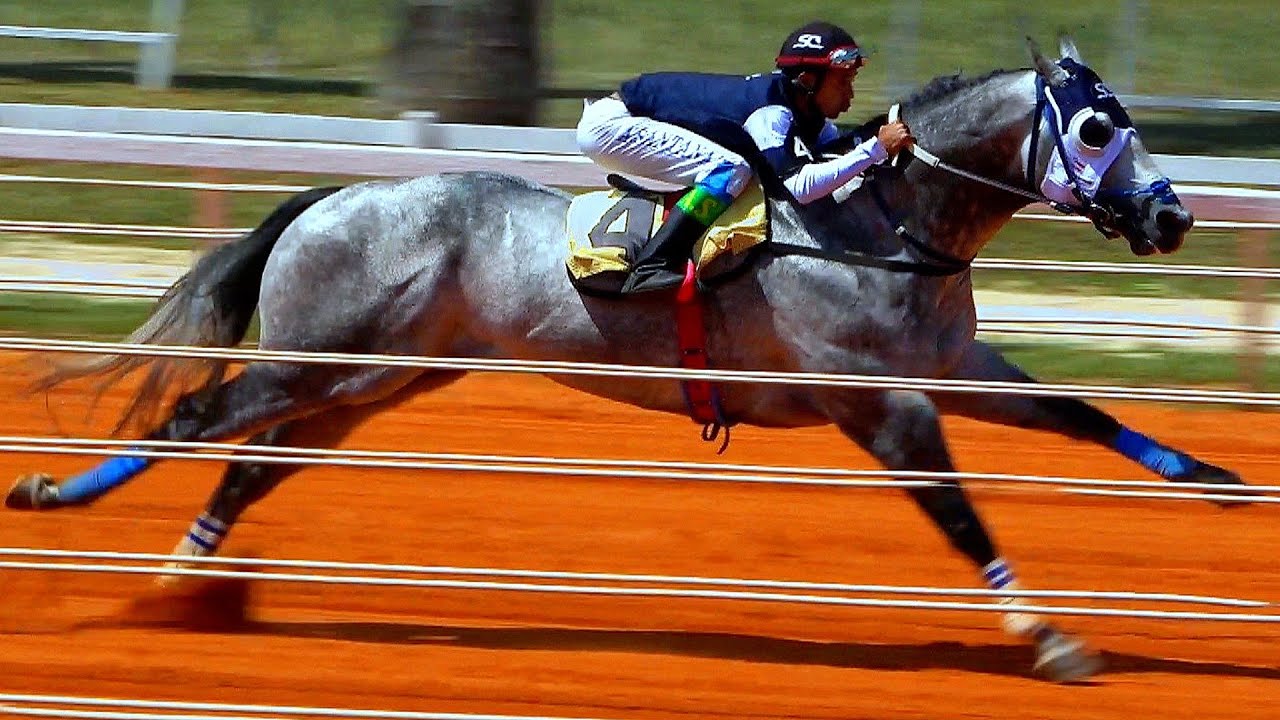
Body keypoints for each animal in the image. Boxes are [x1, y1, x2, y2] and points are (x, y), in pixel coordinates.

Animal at [6, 39, 1246, 682]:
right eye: (1095, 129)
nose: (1171, 215)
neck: (884, 223)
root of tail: (334, 195)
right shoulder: (872, 399)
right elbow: (953, 510)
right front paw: (1047, 636)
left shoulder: (950, 367)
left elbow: (1082, 419)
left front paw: (1221, 482)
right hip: (318, 356)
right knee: (195, 422)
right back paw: (60, 504)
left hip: (372, 376)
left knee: (250, 463)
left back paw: (177, 588)